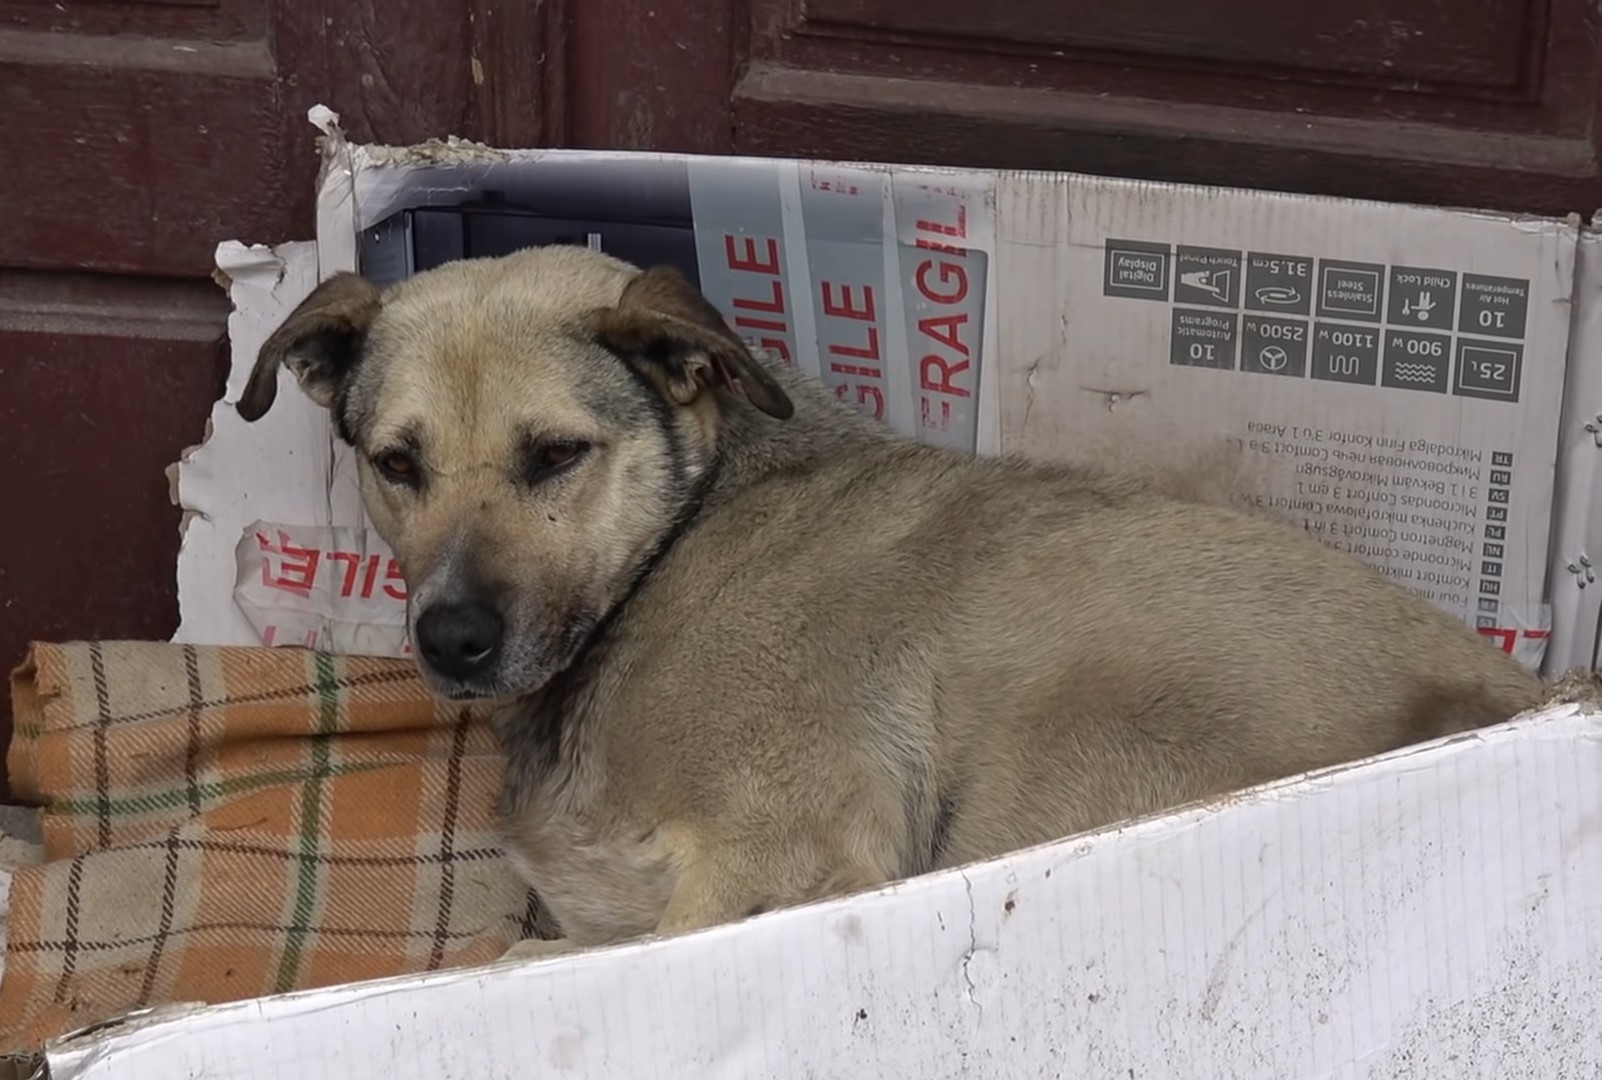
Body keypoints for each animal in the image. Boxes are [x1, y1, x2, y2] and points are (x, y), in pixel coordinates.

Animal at [237, 243, 1537, 961]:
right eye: (396, 462)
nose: (451, 640)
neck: (669, 551)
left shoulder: (783, 866)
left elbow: (494, 962)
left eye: (556, 456)